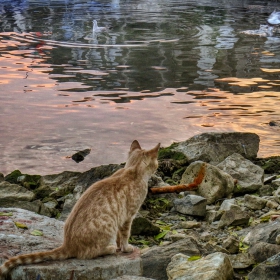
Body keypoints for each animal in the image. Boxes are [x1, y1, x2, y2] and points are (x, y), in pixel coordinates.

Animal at [0, 141, 160, 276]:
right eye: (156, 163)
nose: (157, 167)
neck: (132, 170)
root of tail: (68, 245)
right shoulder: (128, 216)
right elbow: (125, 235)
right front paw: (125, 248)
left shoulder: (122, 218)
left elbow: (121, 236)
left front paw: (122, 246)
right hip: (108, 229)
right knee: (88, 253)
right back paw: (110, 248)